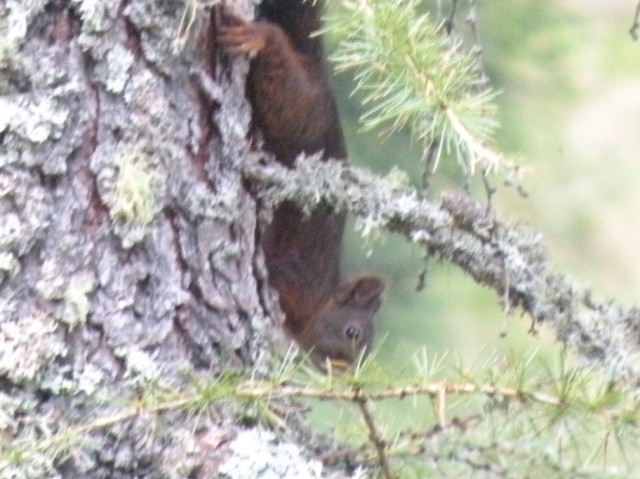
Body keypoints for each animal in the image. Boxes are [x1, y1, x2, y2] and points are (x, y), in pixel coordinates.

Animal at [215, 0, 384, 370]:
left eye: (368, 355)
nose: (344, 373)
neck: (321, 300)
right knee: (283, 79)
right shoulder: (296, 278)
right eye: (352, 332)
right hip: (300, 114)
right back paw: (261, 36)